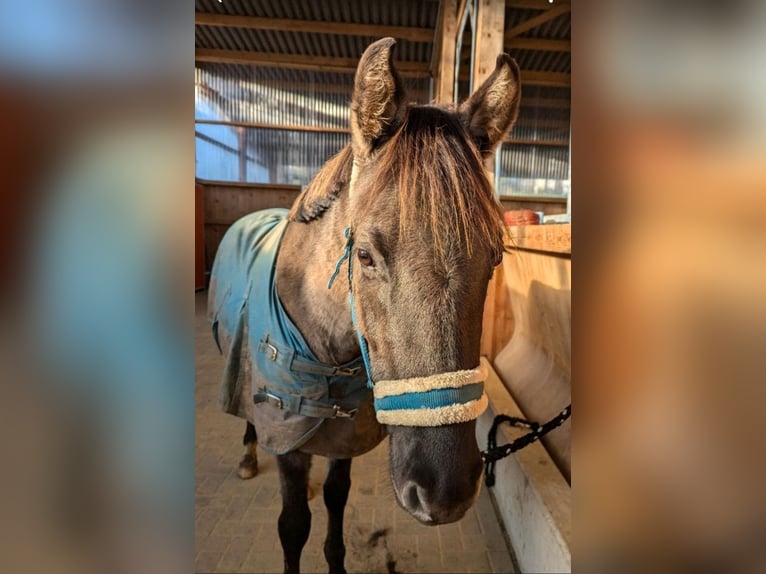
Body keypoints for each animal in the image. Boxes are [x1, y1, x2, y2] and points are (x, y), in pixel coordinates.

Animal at [210, 37, 520, 574]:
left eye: (495, 257)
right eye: (365, 255)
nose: (444, 493)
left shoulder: (346, 436)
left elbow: (336, 501)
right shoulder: (288, 441)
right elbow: (293, 526)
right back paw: (249, 456)